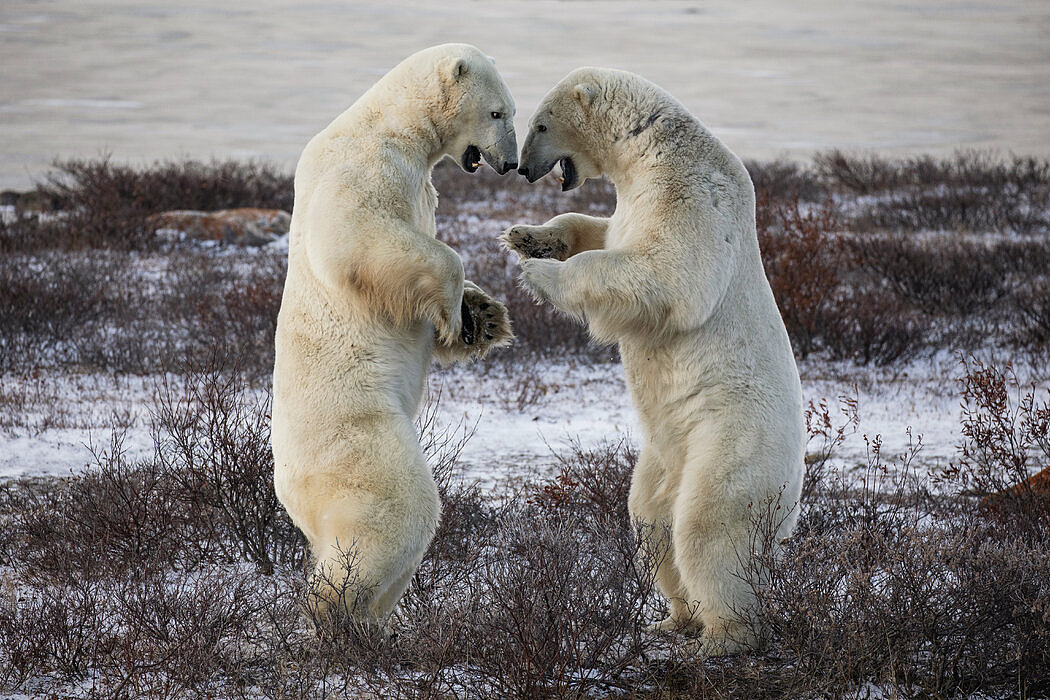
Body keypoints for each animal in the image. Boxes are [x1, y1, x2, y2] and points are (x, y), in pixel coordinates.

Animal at [270, 43, 516, 625]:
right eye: (498, 112)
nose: (511, 163)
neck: (389, 122)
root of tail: (289, 488)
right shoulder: (365, 168)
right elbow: (358, 238)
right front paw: (454, 311)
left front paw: (483, 315)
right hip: (358, 437)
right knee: (398, 512)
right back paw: (334, 614)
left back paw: (373, 626)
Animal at [501, 68, 802, 654]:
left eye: (541, 123)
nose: (524, 170)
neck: (654, 149)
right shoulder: (637, 199)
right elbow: (602, 230)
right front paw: (528, 236)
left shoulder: (691, 195)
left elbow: (665, 273)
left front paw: (539, 275)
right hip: (664, 453)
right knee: (648, 519)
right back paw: (672, 618)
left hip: (730, 439)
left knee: (707, 528)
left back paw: (723, 636)